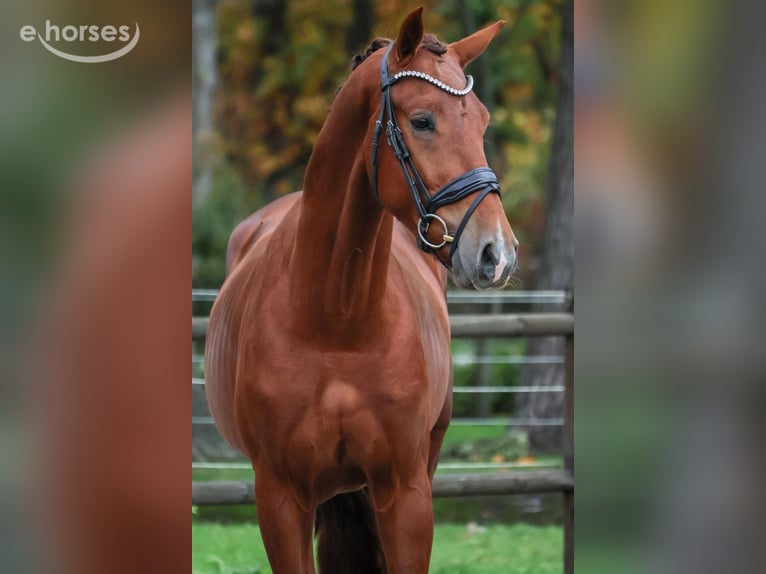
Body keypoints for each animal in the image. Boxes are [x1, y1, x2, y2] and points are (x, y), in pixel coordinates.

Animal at [205, 7, 518, 573]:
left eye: (483, 121)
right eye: (422, 121)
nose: (496, 253)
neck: (336, 323)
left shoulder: (406, 491)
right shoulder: (280, 499)